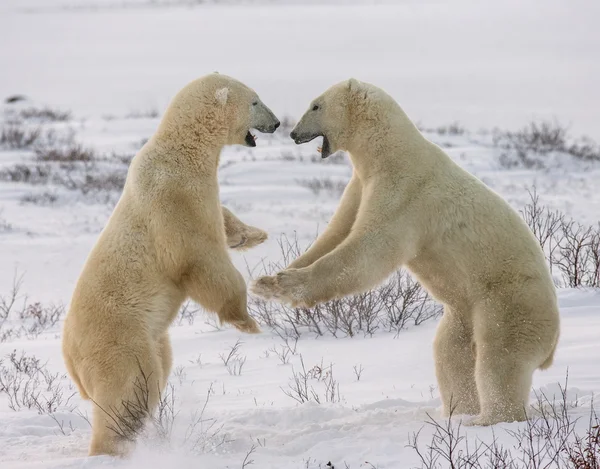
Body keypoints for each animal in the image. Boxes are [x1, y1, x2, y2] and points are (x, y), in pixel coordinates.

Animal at [62, 74, 278, 458]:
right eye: (255, 101)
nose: (278, 123)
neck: (183, 151)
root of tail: (69, 357)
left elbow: (221, 220)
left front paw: (252, 235)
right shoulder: (174, 196)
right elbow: (198, 256)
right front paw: (247, 321)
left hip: (149, 338)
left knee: (158, 371)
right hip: (119, 338)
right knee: (130, 388)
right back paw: (115, 447)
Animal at [251, 78, 560, 426]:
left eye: (316, 105)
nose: (292, 133)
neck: (389, 152)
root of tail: (553, 342)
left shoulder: (404, 194)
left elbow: (368, 251)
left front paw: (286, 285)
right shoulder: (361, 185)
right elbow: (335, 233)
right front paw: (267, 281)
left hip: (508, 301)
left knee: (500, 359)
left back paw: (488, 418)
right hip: (464, 311)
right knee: (451, 353)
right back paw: (458, 411)